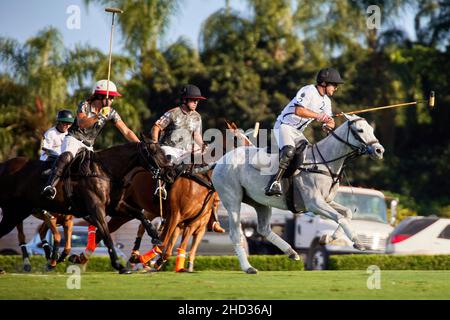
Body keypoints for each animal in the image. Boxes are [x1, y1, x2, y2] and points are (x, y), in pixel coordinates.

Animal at [0, 142, 172, 276]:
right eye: (155, 152)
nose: (171, 173)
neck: (102, 171)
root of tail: (3, 166)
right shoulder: (96, 211)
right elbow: (107, 235)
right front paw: (119, 265)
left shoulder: (114, 207)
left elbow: (139, 214)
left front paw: (156, 236)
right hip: (13, 213)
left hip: (17, 213)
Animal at [213, 114, 384, 274]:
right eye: (360, 130)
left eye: (371, 129)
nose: (379, 150)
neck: (324, 163)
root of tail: (219, 162)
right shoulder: (314, 204)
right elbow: (340, 217)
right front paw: (358, 242)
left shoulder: (326, 201)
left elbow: (347, 213)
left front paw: (327, 238)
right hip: (233, 200)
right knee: (235, 234)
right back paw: (248, 267)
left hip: (260, 202)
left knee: (263, 229)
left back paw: (291, 252)